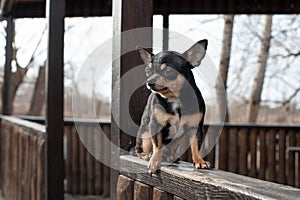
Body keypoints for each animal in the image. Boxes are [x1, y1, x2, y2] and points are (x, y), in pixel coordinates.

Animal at [136, 39, 211, 174]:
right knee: (138, 149)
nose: (149, 82)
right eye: (148, 71)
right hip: (145, 135)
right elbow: (158, 145)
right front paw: (154, 161)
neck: (175, 98)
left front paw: (199, 160)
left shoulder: (195, 127)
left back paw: (171, 156)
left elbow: (195, 145)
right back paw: (146, 155)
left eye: (168, 71)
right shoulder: (155, 125)